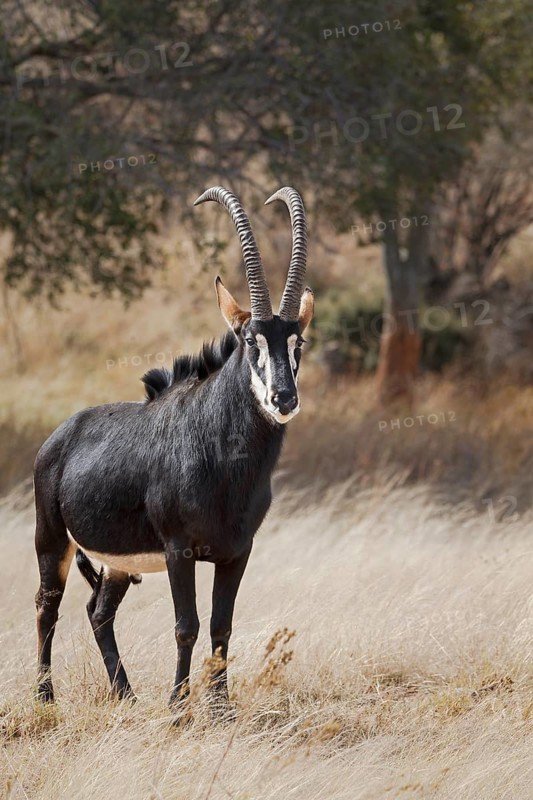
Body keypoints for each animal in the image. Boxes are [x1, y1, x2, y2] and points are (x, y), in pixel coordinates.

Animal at [34, 186, 314, 715]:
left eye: (298, 343)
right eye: (250, 340)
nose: (284, 399)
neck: (225, 459)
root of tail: (59, 437)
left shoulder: (236, 552)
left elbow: (222, 627)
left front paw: (220, 708)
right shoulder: (178, 551)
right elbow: (188, 626)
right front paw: (179, 709)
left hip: (118, 564)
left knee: (98, 611)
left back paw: (125, 694)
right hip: (52, 541)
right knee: (47, 606)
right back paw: (44, 698)